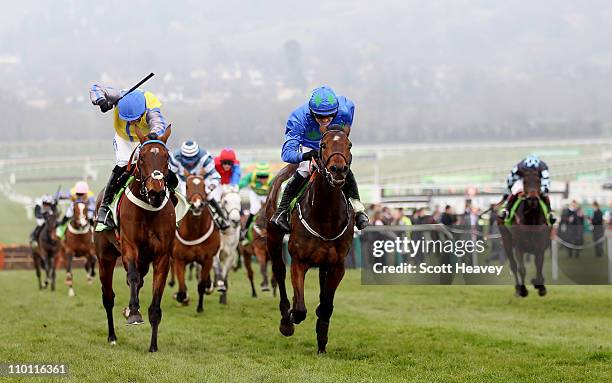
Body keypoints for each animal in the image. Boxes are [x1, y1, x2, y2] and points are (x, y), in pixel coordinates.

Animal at [94, 127, 175, 354]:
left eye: (166, 158)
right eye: (142, 158)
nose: (156, 192)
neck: (149, 211)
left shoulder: (162, 257)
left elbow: (155, 302)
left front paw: (153, 346)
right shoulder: (130, 247)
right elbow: (132, 277)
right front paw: (134, 313)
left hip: (144, 261)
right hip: (105, 257)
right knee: (108, 296)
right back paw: (112, 335)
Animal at [171, 171, 221, 312]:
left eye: (204, 185)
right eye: (187, 186)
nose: (197, 205)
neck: (194, 232)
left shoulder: (207, 259)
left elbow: (201, 285)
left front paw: (200, 308)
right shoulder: (179, 259)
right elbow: (182, 289)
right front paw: (182, 297)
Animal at [264, 124, 354, 356]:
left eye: (349, 144)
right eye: (323, 145)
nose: (338, 169)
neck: (326, 217)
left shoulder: (337, 265)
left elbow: (326, 306)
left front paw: (322, 340)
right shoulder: (299, 261)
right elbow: (300, 309)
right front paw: (292, 318)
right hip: (273, 237)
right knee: (279, 272)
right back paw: (286, 319)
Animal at [498, 170, 548, 298]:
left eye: (539, 181)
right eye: (525, 182)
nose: (532, 198)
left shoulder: (540, 247)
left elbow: (539, 266)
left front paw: (540, 286)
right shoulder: (519, 247)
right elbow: (521, 269)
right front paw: (523, 290)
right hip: (506, 240)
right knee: (513, 265)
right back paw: (517, 288)